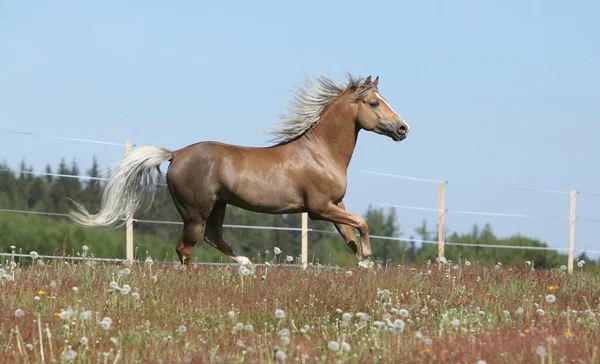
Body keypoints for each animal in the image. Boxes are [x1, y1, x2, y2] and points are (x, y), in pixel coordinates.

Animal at [68, 72, 410, 268]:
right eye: (375, 103)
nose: (403, 129)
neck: (320, 153)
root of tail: (176, 154)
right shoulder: (319, 208)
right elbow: (362, 223)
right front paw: (369, 257)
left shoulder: (335, 205)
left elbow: (350, 236)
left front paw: (365, 265)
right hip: (195, 212)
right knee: (186, 248)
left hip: (218, 206)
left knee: (212, 238)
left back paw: (246, 265)